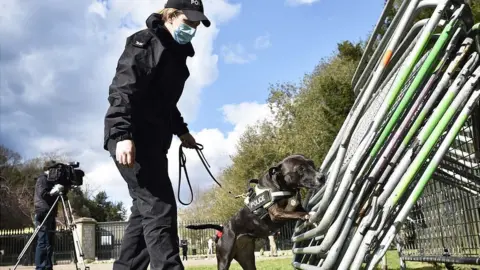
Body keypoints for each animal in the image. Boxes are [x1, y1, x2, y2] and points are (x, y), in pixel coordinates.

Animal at [186, 154, 324, 270]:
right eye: (300, 169)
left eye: (311, 163)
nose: (322, 177)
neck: (284, 188)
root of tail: (222, 229)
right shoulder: (276, 213)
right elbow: (298, 214)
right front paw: (309, 216)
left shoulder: (296, 207)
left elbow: (301, 210)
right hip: (224, 260)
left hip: (247, 259)